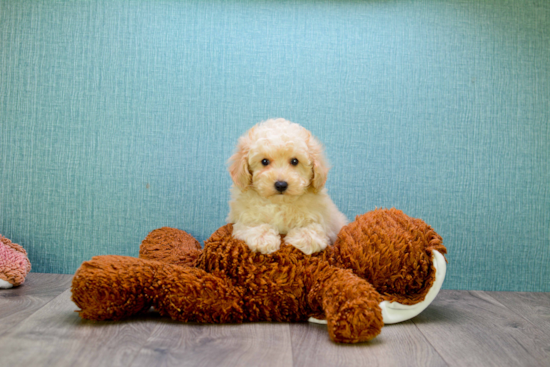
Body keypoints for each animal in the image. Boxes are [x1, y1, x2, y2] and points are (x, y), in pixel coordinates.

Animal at [227, 119, 350, 254]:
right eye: (264, 161)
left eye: (295, 161)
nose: (281, 185)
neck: (280, 204)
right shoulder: (241, 217)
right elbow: (251, 223)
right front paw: (263, 238)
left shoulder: (323, 222)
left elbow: (313, 227)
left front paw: (304, 237)